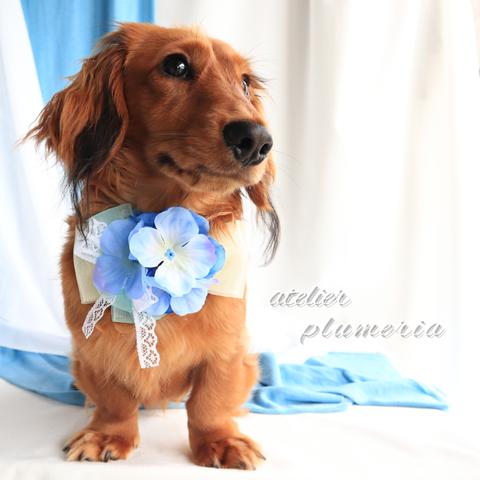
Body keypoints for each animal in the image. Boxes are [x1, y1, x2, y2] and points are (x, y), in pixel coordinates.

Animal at [26, 22, 280, 468]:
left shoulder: (227, 347)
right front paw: (108, 434)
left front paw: (220, 441)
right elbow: (113, 398)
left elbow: (210, 401)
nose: (256, 140)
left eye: (246, 83)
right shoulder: (93, 348)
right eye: (176, 65)